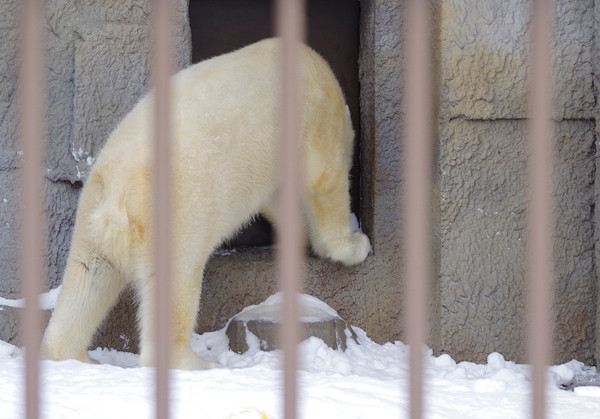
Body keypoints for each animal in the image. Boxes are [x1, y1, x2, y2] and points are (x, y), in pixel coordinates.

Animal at [42, 37, 370, 370]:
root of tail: (116, 202)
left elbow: (280, 201)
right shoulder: (317, 110)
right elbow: (323, 179)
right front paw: (354, 246)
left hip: (91, 221)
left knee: (87, 281)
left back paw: (76, 356)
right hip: (175, 216)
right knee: (176, 282)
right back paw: (197, 362)